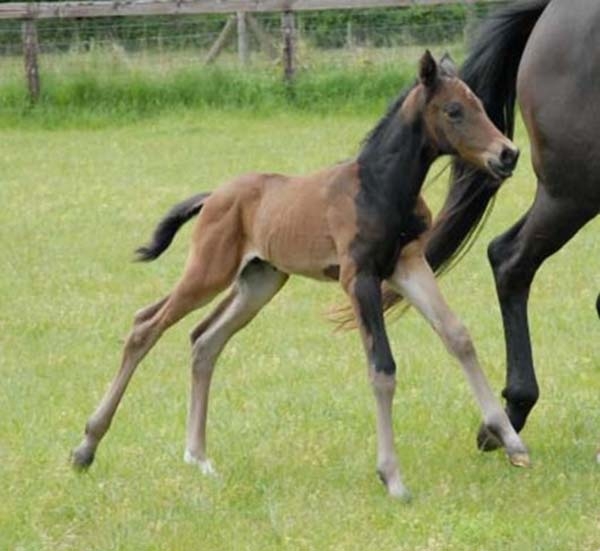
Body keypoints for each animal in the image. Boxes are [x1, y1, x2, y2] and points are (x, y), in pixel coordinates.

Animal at [72, 52, 528, 500]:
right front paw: (393, 477)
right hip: (208, 271)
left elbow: (458, 336)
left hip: (259, 282)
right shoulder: (358, 277)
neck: (378, 187)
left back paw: (198, 457)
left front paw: (511, 442)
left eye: (480, 106)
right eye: (453, 111)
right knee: (145, 325)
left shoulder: (407, 264)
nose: (508, 154)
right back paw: (86, 448)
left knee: (204, 340)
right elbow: (382, 367)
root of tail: (214, 196)